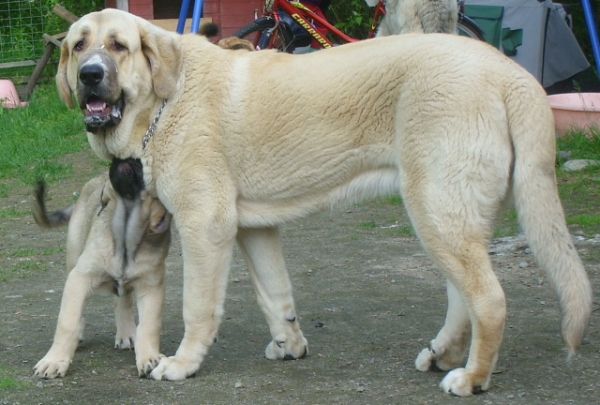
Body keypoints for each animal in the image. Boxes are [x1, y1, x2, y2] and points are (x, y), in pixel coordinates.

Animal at [57, 9, 596, 394]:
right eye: (79, 45)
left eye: (119, 46)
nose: (89, 75)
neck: (165, 99)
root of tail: (510, 72)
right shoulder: (254, 228)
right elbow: (275, 293)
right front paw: (289, 345)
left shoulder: (205, 225)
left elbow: (198, 306)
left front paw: (182, 364)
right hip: (450, 216)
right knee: (463, 295)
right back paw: (442, 354)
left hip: (438, 211)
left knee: (489, 299)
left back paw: (472, 378)